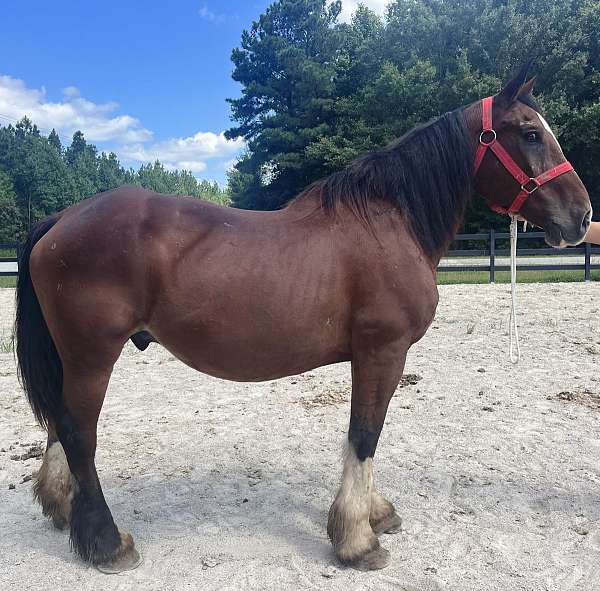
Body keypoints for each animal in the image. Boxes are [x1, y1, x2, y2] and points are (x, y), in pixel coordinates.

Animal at [12, 66, 592, 572]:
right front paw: (357, 539)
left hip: (75, 359)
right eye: (530, 133)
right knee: (80, 434)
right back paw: (107, 543)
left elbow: (367, 434)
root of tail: (63, 217)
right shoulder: (383, 351)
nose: (583, 216)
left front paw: (376, 515)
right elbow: (365, 434)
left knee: (61, 426)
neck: (390, 223)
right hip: (92, 356)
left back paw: (65, 512)